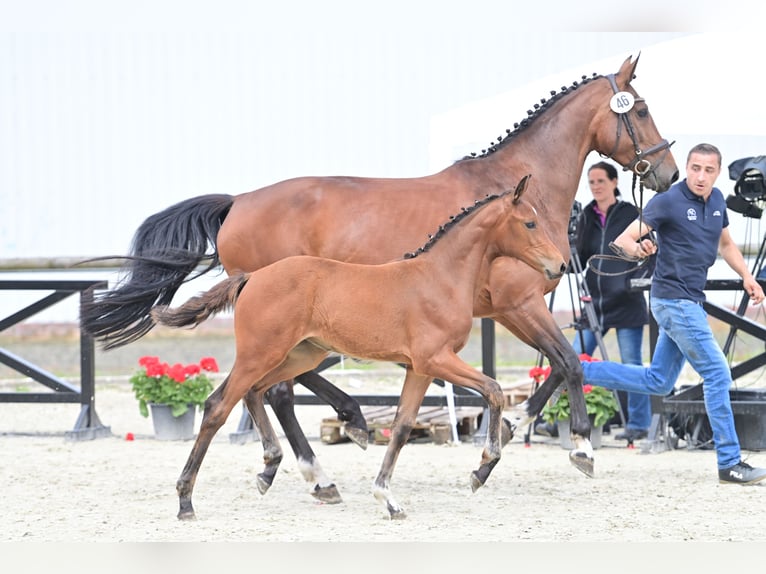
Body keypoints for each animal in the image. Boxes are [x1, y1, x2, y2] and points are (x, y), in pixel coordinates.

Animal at [151, 176, 567, 520]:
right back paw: (186, 500)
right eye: (529, 223)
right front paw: (481, 469)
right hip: (260, 354)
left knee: (256, 392)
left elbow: (402, 427)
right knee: (218, 406)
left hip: (301, 354)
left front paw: (388, 499)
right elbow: (494, 391)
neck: (439, 276)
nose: (560, 265)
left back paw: (270, 469)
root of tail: (252, 277)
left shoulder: (419, 367)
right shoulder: (437, 358)